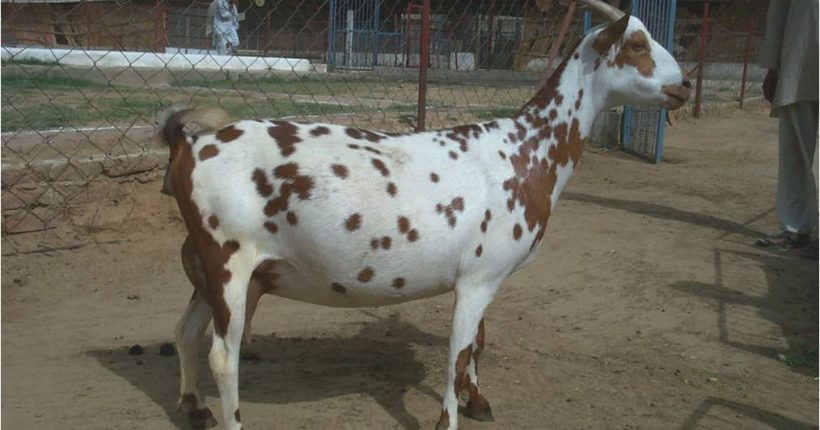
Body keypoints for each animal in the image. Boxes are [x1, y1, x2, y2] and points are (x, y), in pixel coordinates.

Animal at [161, 3, 690, 429]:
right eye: (638, 45)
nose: (684, 86)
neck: (525, 152)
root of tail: (191, 146)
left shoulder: (484, 274)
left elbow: (478, 342)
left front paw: (478, 402)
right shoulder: (477, 279)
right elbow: (457, 352)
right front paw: (449, 419)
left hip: (208, 267)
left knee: (186, 330)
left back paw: (193, 407)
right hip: (230, 259)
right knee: (222, 355)